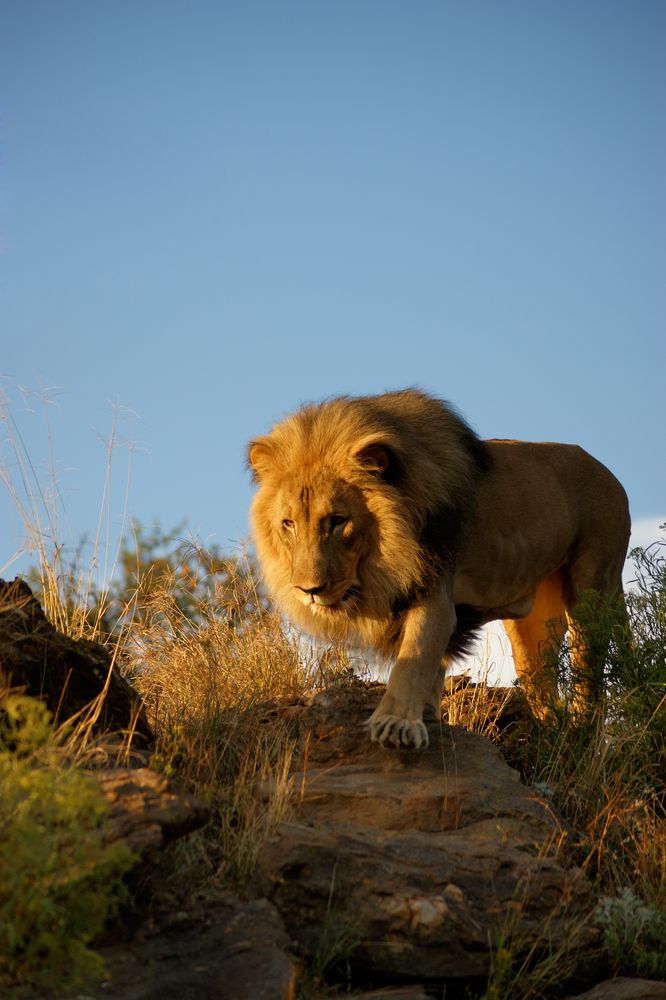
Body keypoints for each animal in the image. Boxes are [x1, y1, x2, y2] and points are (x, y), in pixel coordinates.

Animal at [248, 386, 628, 748]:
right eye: (288, 524)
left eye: (338, 521)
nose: (308, 590)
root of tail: (609, 474)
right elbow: (430, 670)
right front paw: (428, 716)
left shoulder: (434, 589)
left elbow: (414, 659)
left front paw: (396, 724)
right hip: (532, 625)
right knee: (544, 688)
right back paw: (549, 737)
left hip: (592, 590)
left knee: (590, 683)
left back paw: (581, 739)